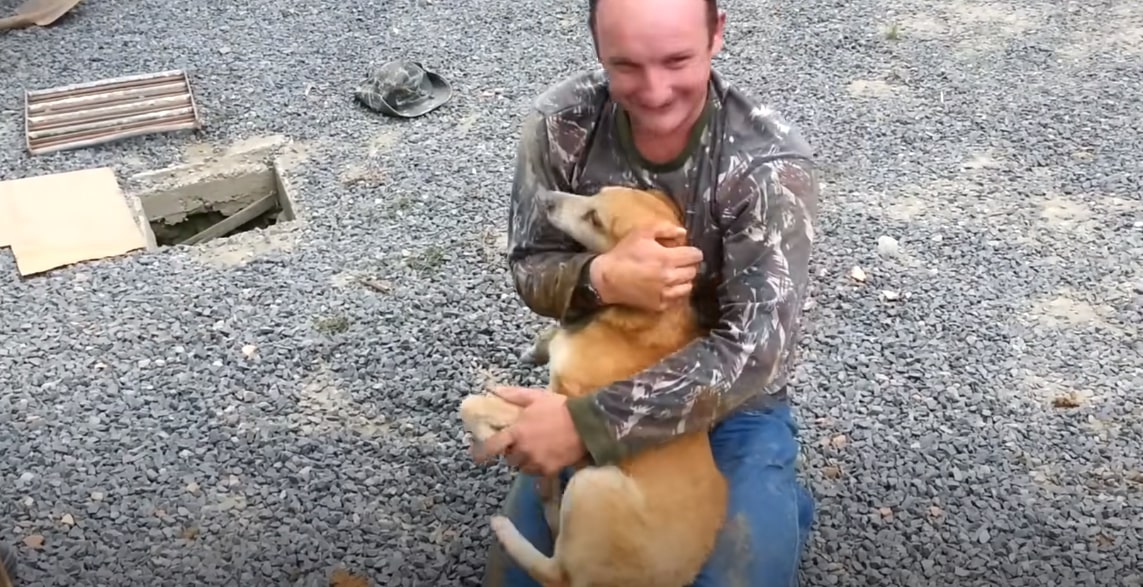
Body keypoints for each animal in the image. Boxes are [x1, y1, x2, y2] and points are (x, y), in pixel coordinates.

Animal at [459, 185, 726, 584]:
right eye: (595, 193)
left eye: (595, 219)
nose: (546, 199)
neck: (636, 318)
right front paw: (538, 347)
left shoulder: (554, 408)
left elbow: (472, 405)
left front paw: (487, 435)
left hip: (591, 487)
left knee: (556, 573)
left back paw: (507, 529)